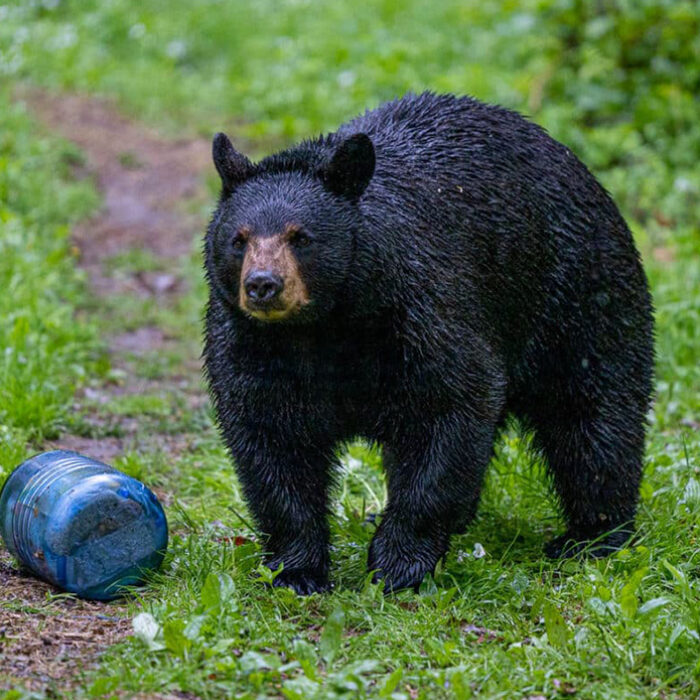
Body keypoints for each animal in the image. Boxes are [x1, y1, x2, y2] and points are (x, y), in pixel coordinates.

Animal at [203, 91, 654, 595]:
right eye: (239, 239)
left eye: (301, 237)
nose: (263, 285)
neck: (326, 327)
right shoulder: (251, 344)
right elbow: (270, 441)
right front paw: (296, 571)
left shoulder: (422, 312)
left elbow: (448, 411)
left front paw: (399, 564)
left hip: (580, 293)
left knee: (594, 417)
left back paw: (593, 536)